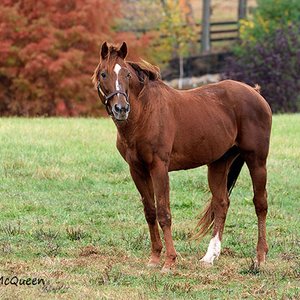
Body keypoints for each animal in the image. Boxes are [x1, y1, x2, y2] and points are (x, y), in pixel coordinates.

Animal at [92, 41, 274, 274]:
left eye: (127, 74)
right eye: (104, 74)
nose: (121, 108)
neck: (145, 114)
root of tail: (255, 92)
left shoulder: (159, 168)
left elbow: (164, 213)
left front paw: (170, 261)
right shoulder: (137, 170)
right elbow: (150, 212)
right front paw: (154, 258)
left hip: (257, 160)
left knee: (260, 204)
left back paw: (259, 258)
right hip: (219, 163)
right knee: (221, 203)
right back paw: (210, 257)